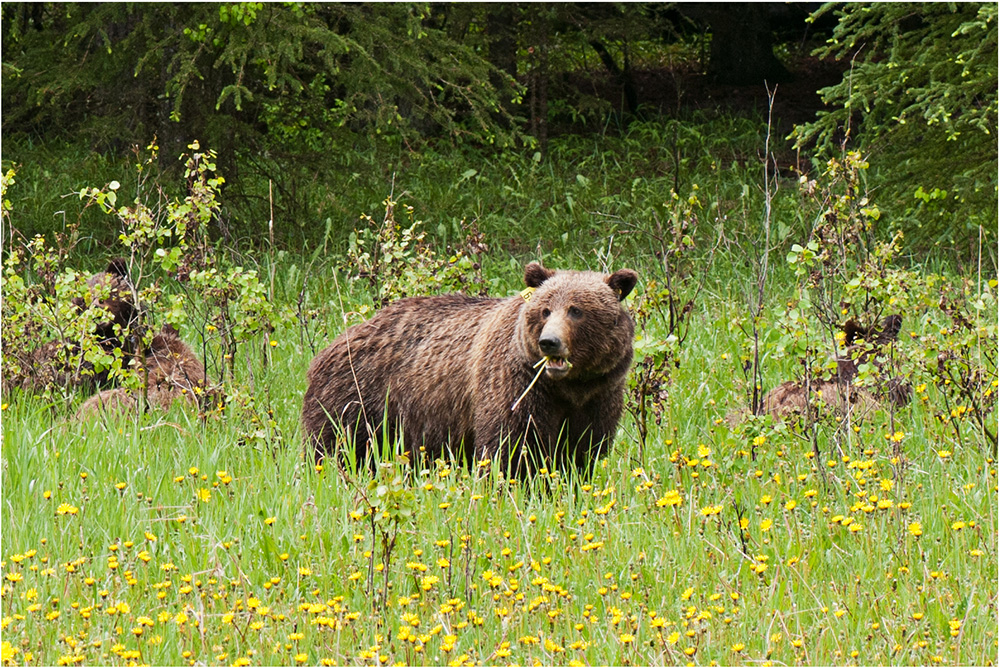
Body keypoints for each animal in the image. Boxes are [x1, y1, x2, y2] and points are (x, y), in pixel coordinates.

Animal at [300, 262, 636, 474]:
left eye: (576, 310)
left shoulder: (599, 395)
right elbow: (511, 447)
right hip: (356, 399)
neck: (568, 387)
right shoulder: (516, 385)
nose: (549, 342)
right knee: (334, 448)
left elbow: (582, 451)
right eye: (545, 310)